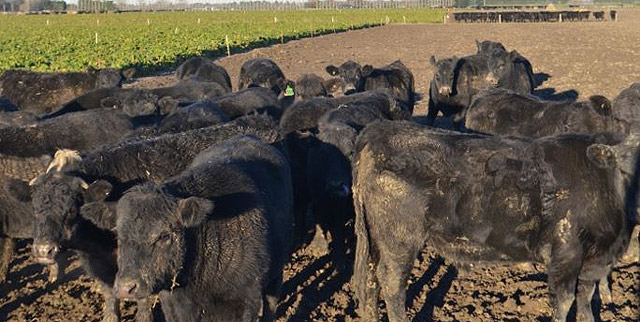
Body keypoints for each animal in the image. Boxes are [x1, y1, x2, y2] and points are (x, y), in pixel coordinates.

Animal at [112, 135, 292, 320]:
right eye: (119, 236)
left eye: (164, 236)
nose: (126, 288)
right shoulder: (171, 302)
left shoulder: (246, 299)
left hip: (276, 271)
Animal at [352, 121, 636, 322]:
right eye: (624, 167)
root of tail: (380, 130)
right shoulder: (565, 255)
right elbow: (564, 302)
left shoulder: (593, 261)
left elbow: (586, 298)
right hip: (399, 240)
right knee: (392, 283)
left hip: (375, 240)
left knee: (371, 279)